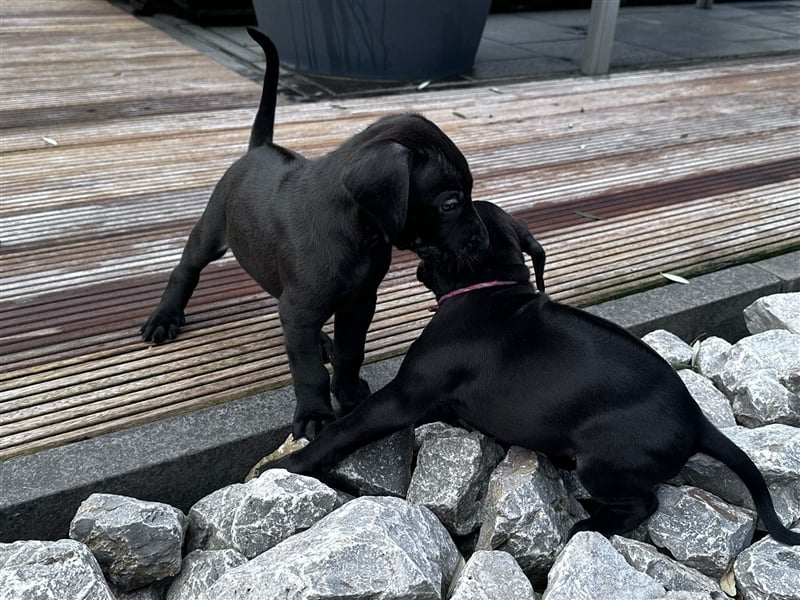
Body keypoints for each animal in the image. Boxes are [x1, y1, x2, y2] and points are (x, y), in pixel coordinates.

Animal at [140, 29, 484, 440]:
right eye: (451, 203)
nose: (482, 241)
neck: (358, 235)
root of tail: (259, 147)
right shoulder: (303, 310)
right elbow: (308, 372)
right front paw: (315, 415)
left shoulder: (359, 302)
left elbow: (351, 352)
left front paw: (349, 394)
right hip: (212, 229)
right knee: (186, 269)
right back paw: (165, 316)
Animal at [260, 199, 796, 548]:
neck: (487, 288)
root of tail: (697, 421)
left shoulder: (404, 396)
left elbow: (345, 428)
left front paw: (293, 465)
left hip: (601, 462)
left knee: (644, 504)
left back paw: (590, 526)